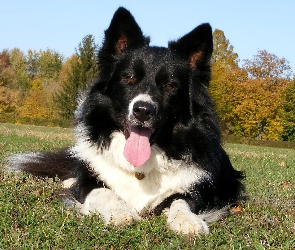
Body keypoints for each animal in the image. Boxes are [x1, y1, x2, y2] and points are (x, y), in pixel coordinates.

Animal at [9, 6, 245, 235]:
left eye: (170, 85)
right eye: (129, 77)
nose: (143, 111)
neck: (139, 169)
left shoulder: (195, 190)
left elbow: (180, 201)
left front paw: (187, 221)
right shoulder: (91, 183)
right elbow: (103, 191)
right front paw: (121, 212)